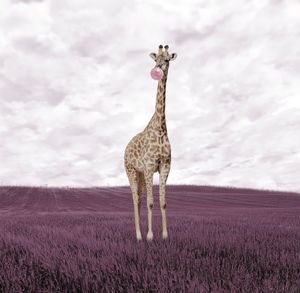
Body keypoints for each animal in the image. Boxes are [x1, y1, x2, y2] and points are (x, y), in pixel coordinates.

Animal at [123, 43, 177, 240]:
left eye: (167, 59)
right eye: (156, 59)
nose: (158, 68)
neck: (160, 127)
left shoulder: (164, 166)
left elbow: (162, 202)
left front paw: (165, 235)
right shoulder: (149, 167)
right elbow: (151, 203)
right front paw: (149, 236)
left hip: (139, 174)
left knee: (139, 198)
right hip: (131, 170)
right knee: (135, 199)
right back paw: (138, 235)